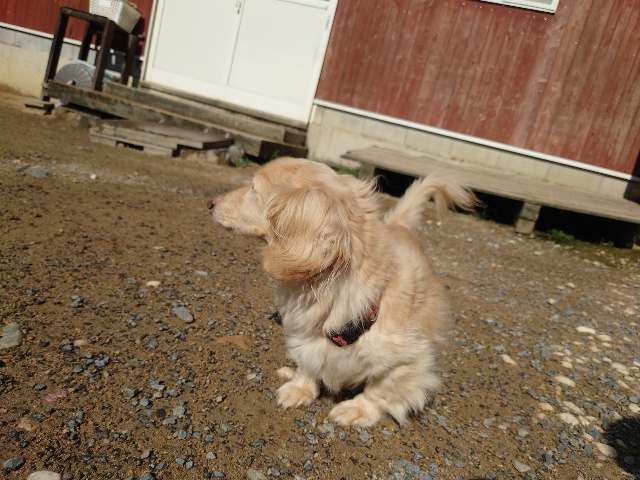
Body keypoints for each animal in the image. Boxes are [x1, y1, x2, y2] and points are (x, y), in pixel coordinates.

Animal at [207, 157, 476, 427]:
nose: (210, 203)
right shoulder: (306, 337)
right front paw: (300, 388)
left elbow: (378, 390)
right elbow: (308, 365)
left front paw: (358, 410)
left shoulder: (411, 363)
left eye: (253, 188)